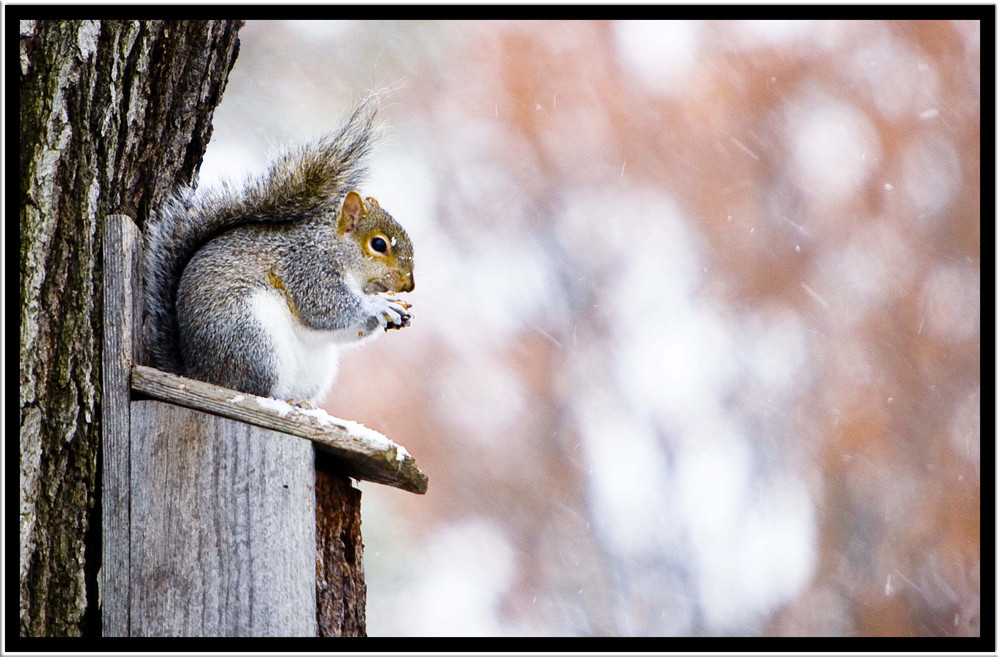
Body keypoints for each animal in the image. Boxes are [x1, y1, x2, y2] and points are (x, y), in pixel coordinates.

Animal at [142, 98, 414, 402]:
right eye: (378, 244)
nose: (409, 284)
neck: (333, 246)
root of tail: (197, 373)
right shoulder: (307, 266)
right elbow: (325, 307)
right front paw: (381, 304)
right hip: (251, 336)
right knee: (253, 386)